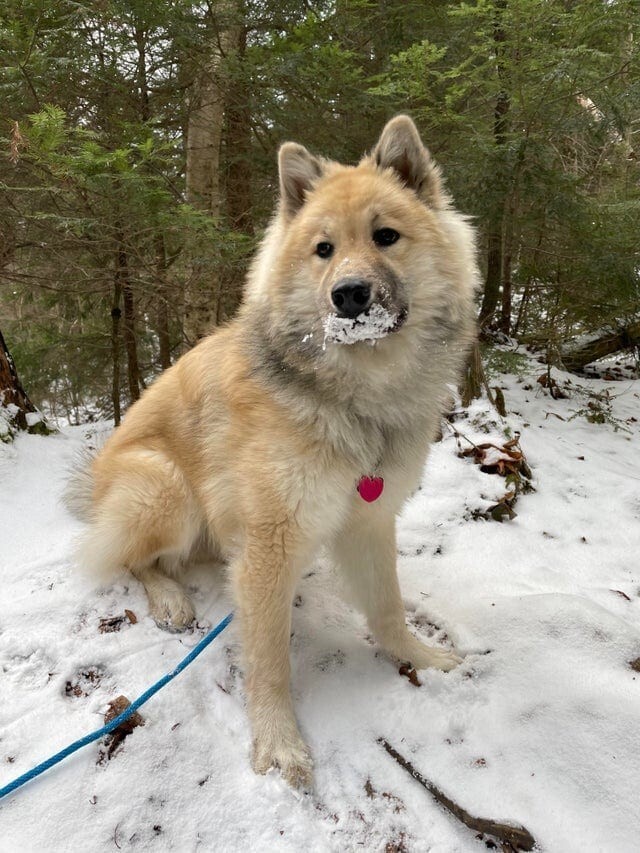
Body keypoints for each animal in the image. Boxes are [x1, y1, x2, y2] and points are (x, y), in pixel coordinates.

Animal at [67, 113, 480, 784]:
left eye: (386, 236)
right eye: (323, 249)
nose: (349, 295)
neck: (354, 396)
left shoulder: (368, 519)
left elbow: (388, 608)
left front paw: (420, 657)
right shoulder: (271, 540)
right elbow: (269, 661)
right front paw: (278, 742)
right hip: (165, 487)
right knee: (130, 558)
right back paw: (170, 599)